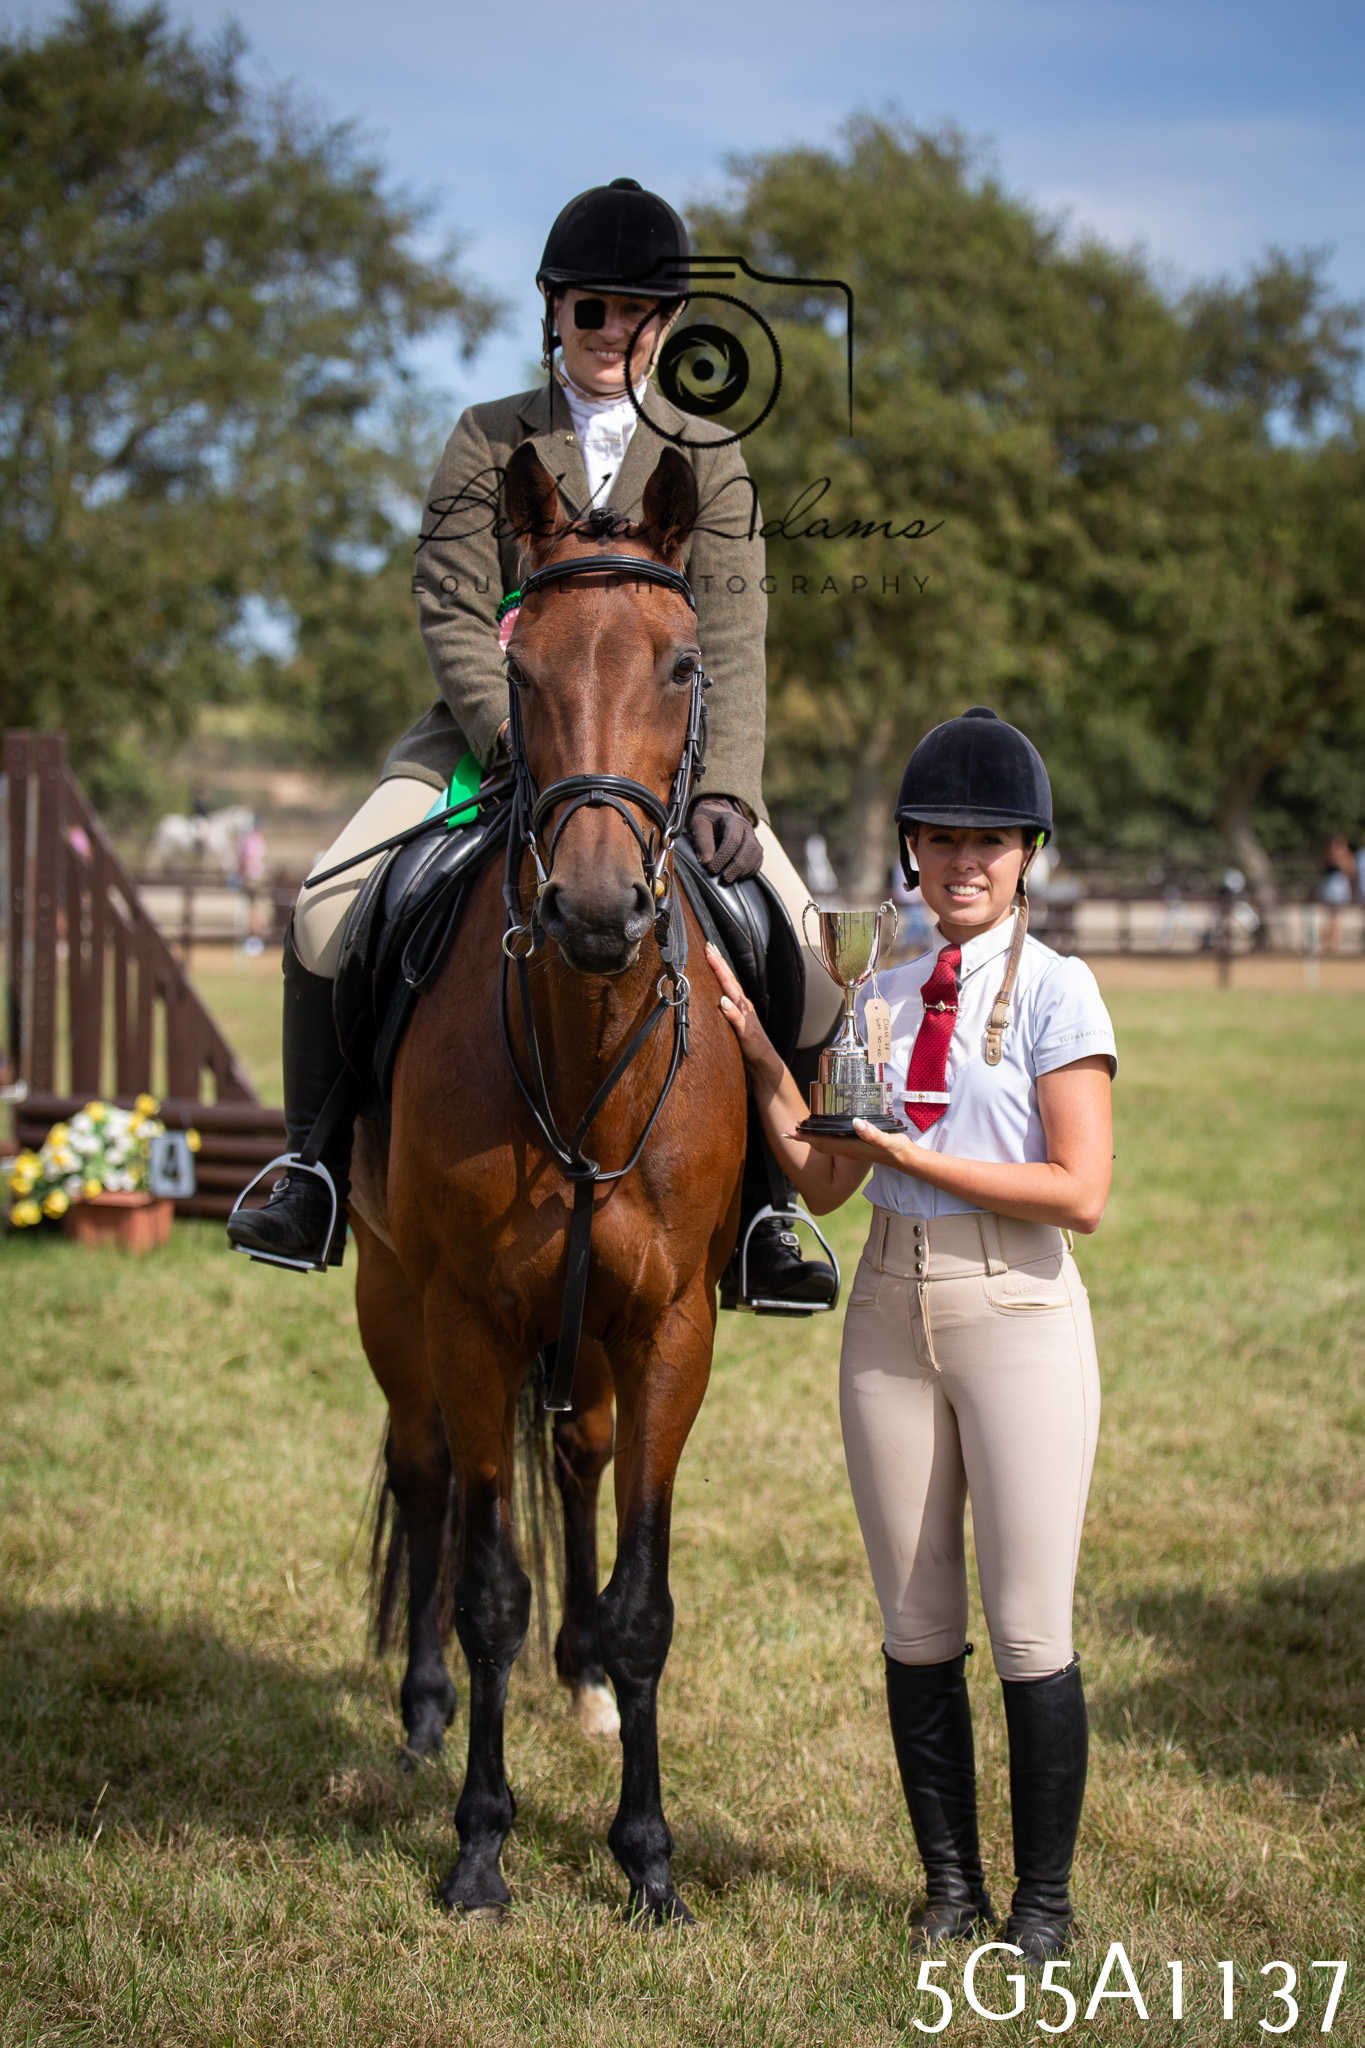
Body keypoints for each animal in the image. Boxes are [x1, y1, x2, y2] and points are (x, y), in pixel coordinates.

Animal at [348, 439, 748, 1924]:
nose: (590, 911)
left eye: (684, 665)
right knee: (426, 1478)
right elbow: (485, 1591)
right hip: (392, 1296)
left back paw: (579, 1685)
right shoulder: (467, 1315)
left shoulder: (671, 1326)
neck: (581, 1047)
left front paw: (648, 1856)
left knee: (571, 1460)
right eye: (520, 674)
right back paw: (419, 1712)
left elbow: (643, 1601)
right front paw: (478, 1846)